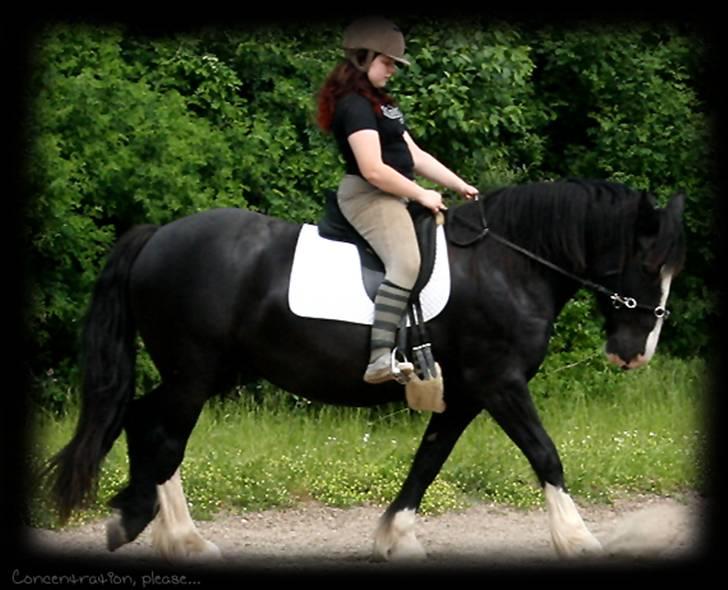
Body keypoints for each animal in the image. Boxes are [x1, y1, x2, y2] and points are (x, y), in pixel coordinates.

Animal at [48, 178, 684, 560]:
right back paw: (172, 534)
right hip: (194, 374)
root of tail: (158, 236)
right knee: (162, 435)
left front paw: (394, 538)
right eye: (647, 263)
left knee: (143, 421)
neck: (506, 265)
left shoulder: (463, 395)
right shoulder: (500, 384)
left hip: (209, 373)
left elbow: (428, 462)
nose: (635, 352)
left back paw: (153, 525)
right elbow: (545, 453)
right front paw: (578, 539)